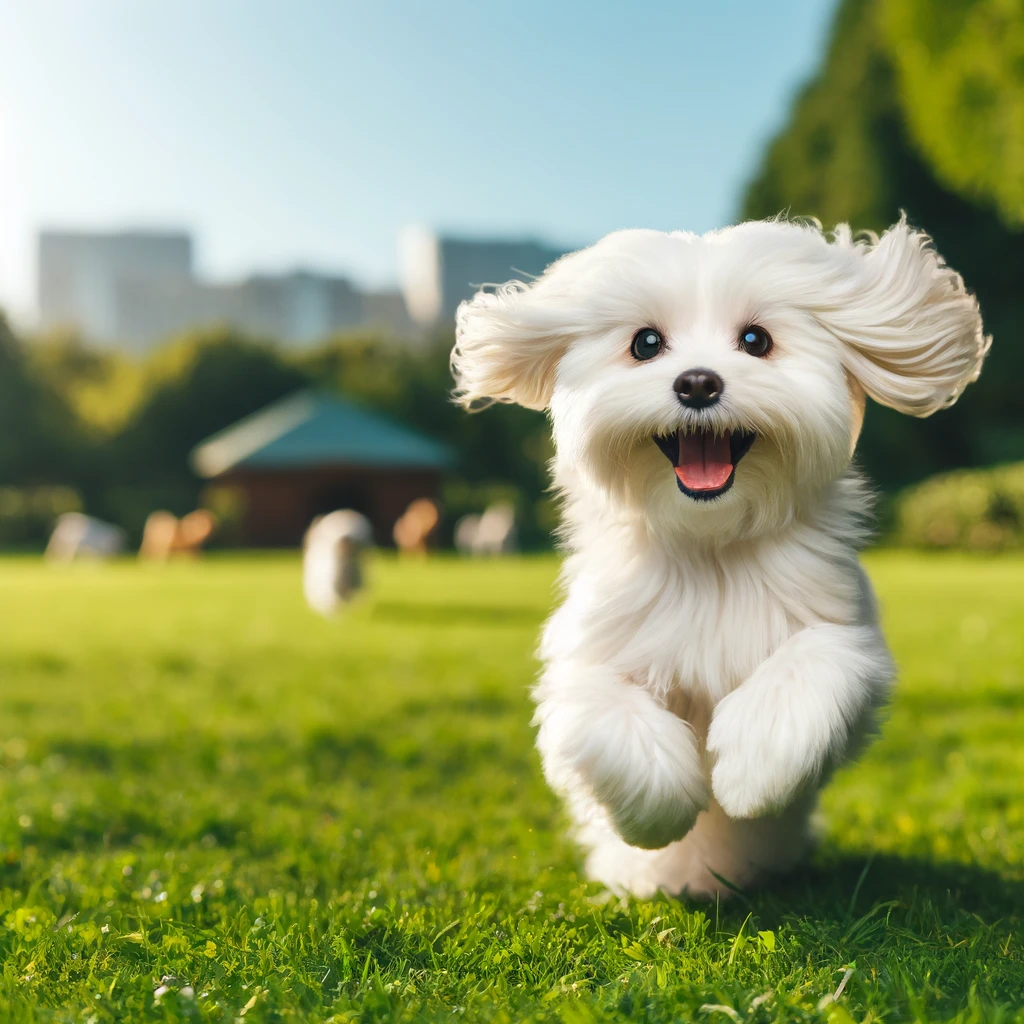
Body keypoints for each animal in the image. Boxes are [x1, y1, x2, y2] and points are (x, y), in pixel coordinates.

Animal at [452, 214, 987, 897]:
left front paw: (749, 774)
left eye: (756, 340)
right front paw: (660, 813)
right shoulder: (589, 655)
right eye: (646, 343)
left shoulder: (845, 630)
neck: (710, 546)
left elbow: (817, 662)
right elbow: (604, 711)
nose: (698, 381)